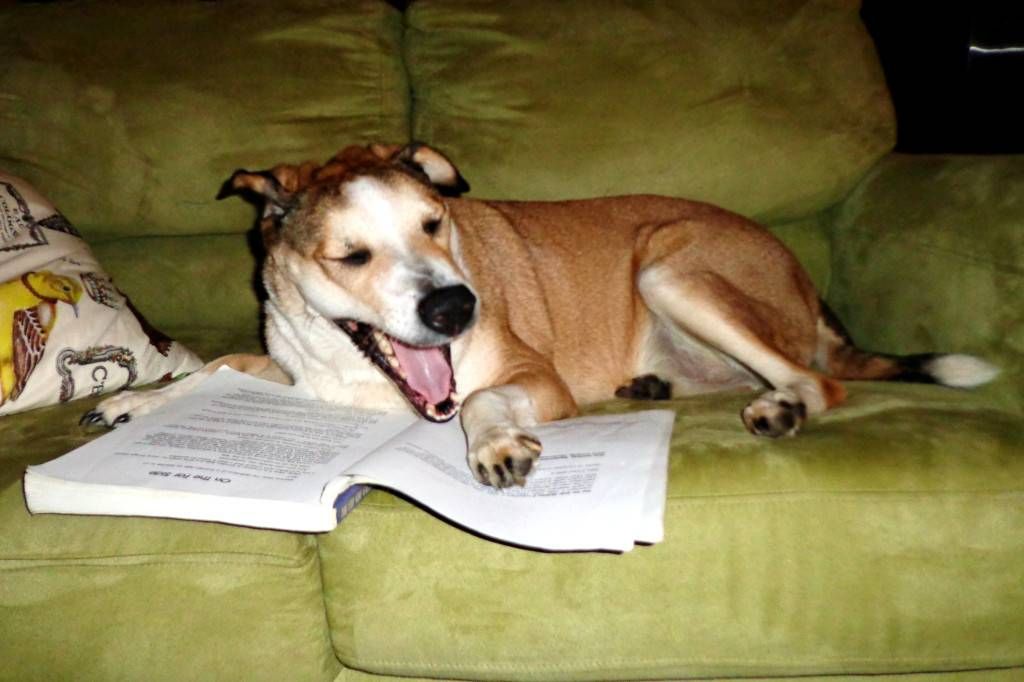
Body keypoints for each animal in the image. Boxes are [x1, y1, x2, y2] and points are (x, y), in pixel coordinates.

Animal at [83, 143, 995, 485]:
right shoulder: (300, 372)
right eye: (351, 256)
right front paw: (140, 400)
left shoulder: (530, 377)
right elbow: (221, 364)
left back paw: (779, 408)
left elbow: (485, 398)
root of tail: (809, 290)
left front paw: (496, 443)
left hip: (671, 264)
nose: (457, 306)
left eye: (434, 222)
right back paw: (660, 387)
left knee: (815, 380)